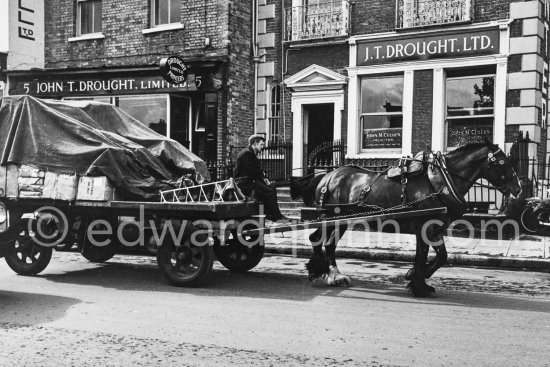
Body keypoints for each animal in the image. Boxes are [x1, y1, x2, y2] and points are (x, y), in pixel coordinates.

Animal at [292, 139, 524, 298]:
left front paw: (415, 278)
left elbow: (441, 257)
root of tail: (327, 175)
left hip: (339, 220)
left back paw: (320, 271)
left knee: (321, 241)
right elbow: (422, 256)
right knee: (322, 241)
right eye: (501, 162)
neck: (439, 181)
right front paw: (417, 283)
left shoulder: (435, 229)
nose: (518, 188)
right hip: (333, 217)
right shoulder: (424, 227)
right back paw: (331, 274)